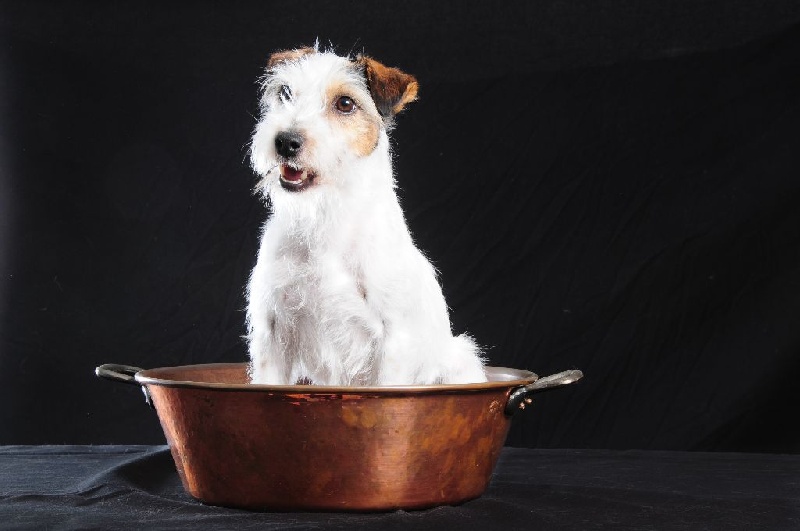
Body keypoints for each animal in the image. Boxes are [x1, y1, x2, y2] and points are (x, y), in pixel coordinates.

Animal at [246, 46, 486, 386]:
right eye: (286, 92)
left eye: (345, 103)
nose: (285, 141)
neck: (326, 216)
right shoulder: (273, 328)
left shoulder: (394, 341)